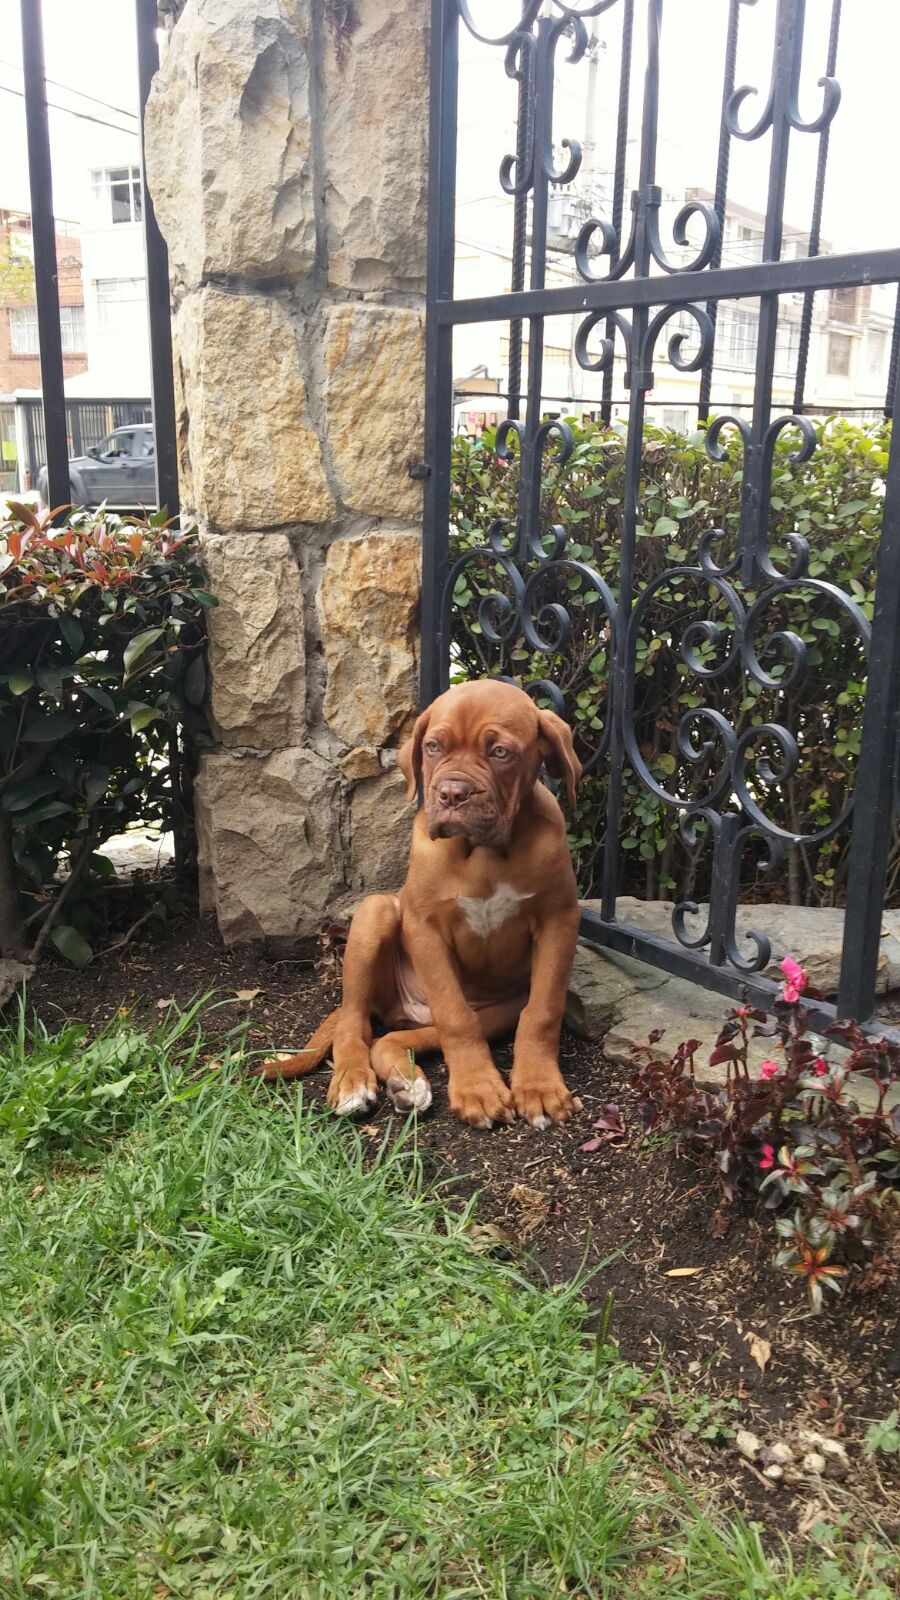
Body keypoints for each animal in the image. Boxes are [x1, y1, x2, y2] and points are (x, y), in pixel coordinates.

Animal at [256, 681, 586, 1132]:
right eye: (433, 746)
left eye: (501, 752)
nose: (451, 793)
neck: (483, 853)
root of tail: (403, 1011)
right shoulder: (424, 926)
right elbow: (455, 1016)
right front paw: (478, 1091)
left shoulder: (559, 920)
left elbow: (543, 1011)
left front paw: (538, 1087)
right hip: (375, 914)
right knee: (354, 1024)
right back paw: (353, 1083)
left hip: (499, 1010)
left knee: (390, 1039)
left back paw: (407, 1083)